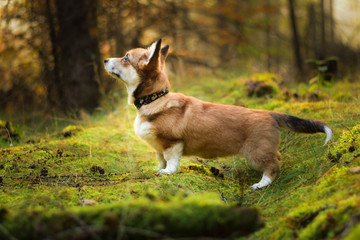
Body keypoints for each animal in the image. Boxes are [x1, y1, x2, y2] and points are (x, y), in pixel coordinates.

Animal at [103, 39, 332, 189]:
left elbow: (171, 160)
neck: (154, 98)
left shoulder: (171, 143)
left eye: (125, 58)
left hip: (257, 153)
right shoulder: (158, 147)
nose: (104, 59)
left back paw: (260, 184)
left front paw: (168, 173)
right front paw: (159, 170)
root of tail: (271, 114)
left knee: (274, 165)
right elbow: (160, 159)